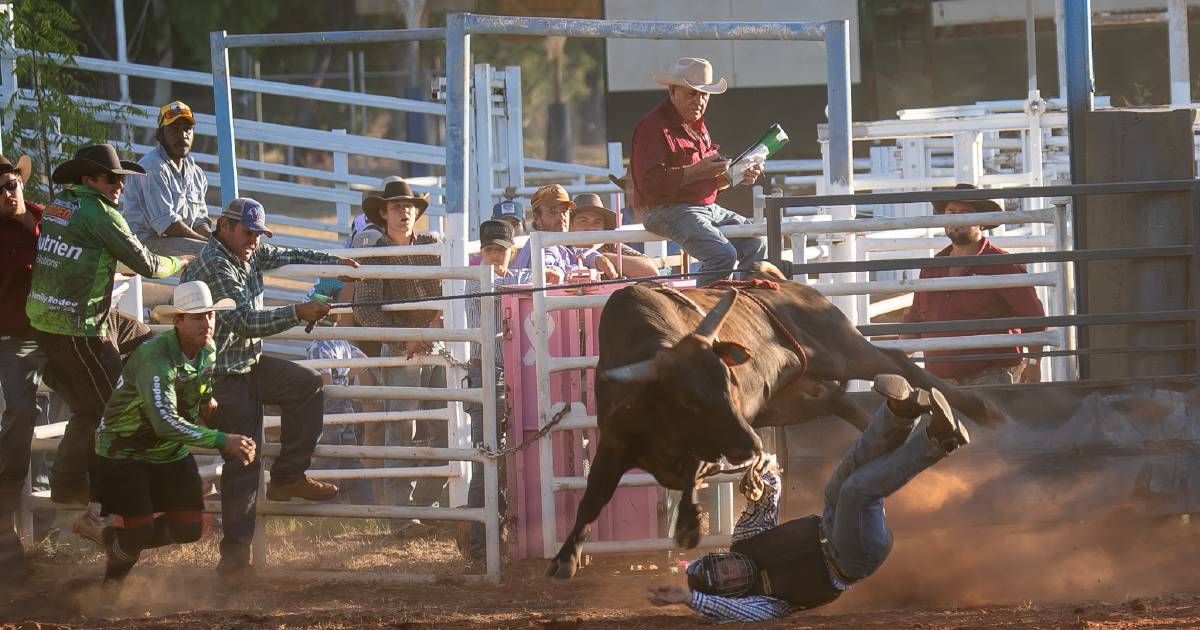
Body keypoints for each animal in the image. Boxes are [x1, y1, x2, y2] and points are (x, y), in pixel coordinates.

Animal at [549, 262, 998, 578]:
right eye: (688, 401)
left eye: (728, 382)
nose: (750, 445)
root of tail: (789, 285)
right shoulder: (615, 444)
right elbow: (592, 498)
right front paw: (565, 559)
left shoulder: (722, 433)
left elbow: (692, 473)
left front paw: (690, 525)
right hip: (790, 400)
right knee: (841, 400)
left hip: (838, 350)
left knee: (897, 362)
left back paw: (979, 408)